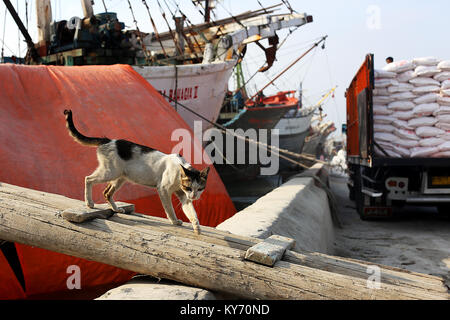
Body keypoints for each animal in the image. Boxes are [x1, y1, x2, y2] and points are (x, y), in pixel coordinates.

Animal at [63, 109, 209, 234]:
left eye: (199, 189)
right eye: (189, 188)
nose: (194, 196)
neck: (179, 172)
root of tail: (108, 140)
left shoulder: (183, 196)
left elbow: (192, 212)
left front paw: (196, 227)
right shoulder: (163, 190)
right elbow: (170, 209)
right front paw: (174, 221)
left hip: (119, 178)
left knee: (107, 193)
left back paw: (116, 209)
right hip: (109, 172)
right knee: (88, 179)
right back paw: (89, 202)